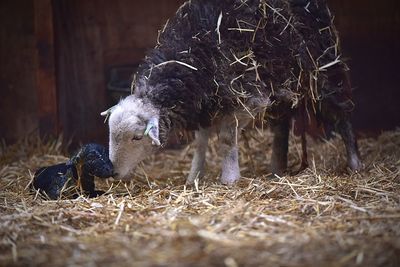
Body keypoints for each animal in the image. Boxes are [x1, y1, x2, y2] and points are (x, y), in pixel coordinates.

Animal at [102, 0, 362, 184]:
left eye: (137, 137)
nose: (112, 173)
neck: (188, 59)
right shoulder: (204, 105)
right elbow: (200, 142)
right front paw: (194, 177)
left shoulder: (249, 100)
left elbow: (227, 138)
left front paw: (229, 178)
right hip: (281, 80)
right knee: (282, 124)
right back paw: (276, 168)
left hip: (324, 68)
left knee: (341, 115)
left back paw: (355, 163)